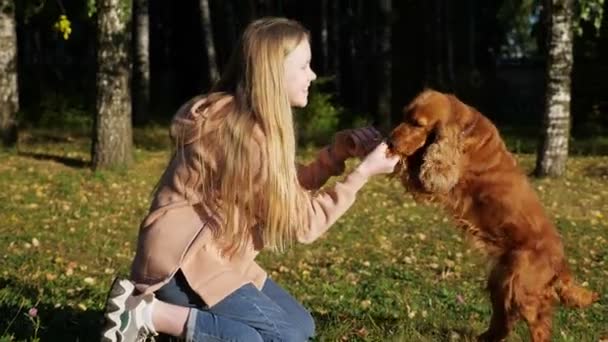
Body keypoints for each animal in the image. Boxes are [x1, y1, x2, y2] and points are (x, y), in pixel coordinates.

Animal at [388, 89, 596, 340]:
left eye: (417, 124)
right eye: (403, 116)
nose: (389, 140)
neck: (466, 125)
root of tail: (561, 262)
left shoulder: (440, 182)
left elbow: (420, 171)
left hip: (523, 289)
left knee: (539, 323)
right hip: (502, 282)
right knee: (504, 319)